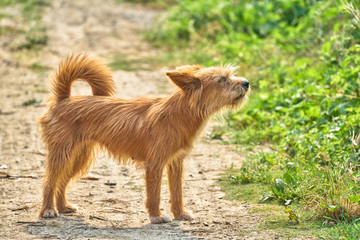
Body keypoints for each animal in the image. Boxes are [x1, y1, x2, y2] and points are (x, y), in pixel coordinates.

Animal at [38, 53, 249, 224]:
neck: (178, 114)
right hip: (62, 155)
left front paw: (180, 214)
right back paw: (48, 210)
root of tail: (64, 99)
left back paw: (62, 206)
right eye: (222, 79)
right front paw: (156, 217)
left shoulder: (176, 164)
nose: (246, 83)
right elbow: (154, 194)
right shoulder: (155, 164)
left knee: (62, 181)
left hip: (79, 157)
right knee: (50, 181)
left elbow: (177, 193)